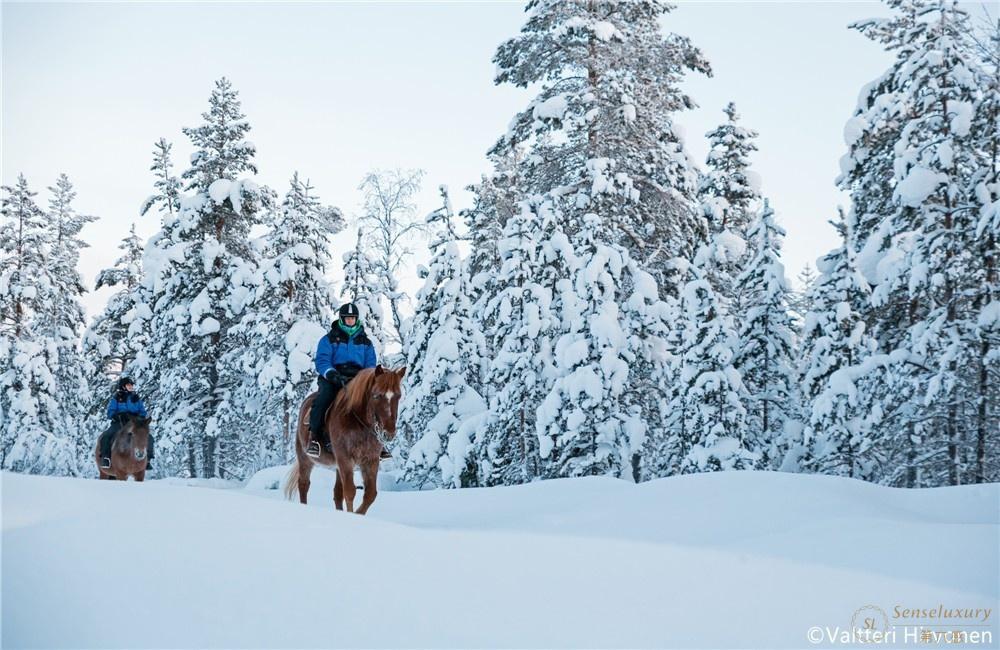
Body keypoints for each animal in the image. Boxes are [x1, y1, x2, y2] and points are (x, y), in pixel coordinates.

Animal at [284, 364, 404, 512]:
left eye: (398, 396)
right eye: (377, 395)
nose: (389, 433)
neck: (358, 423)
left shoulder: (371, 460)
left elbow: (370, 494)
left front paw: (357, 513)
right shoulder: (345, 458)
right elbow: (350, 491)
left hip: (337, 465)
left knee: (337, 492)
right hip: (305, 458)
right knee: (304, 484)